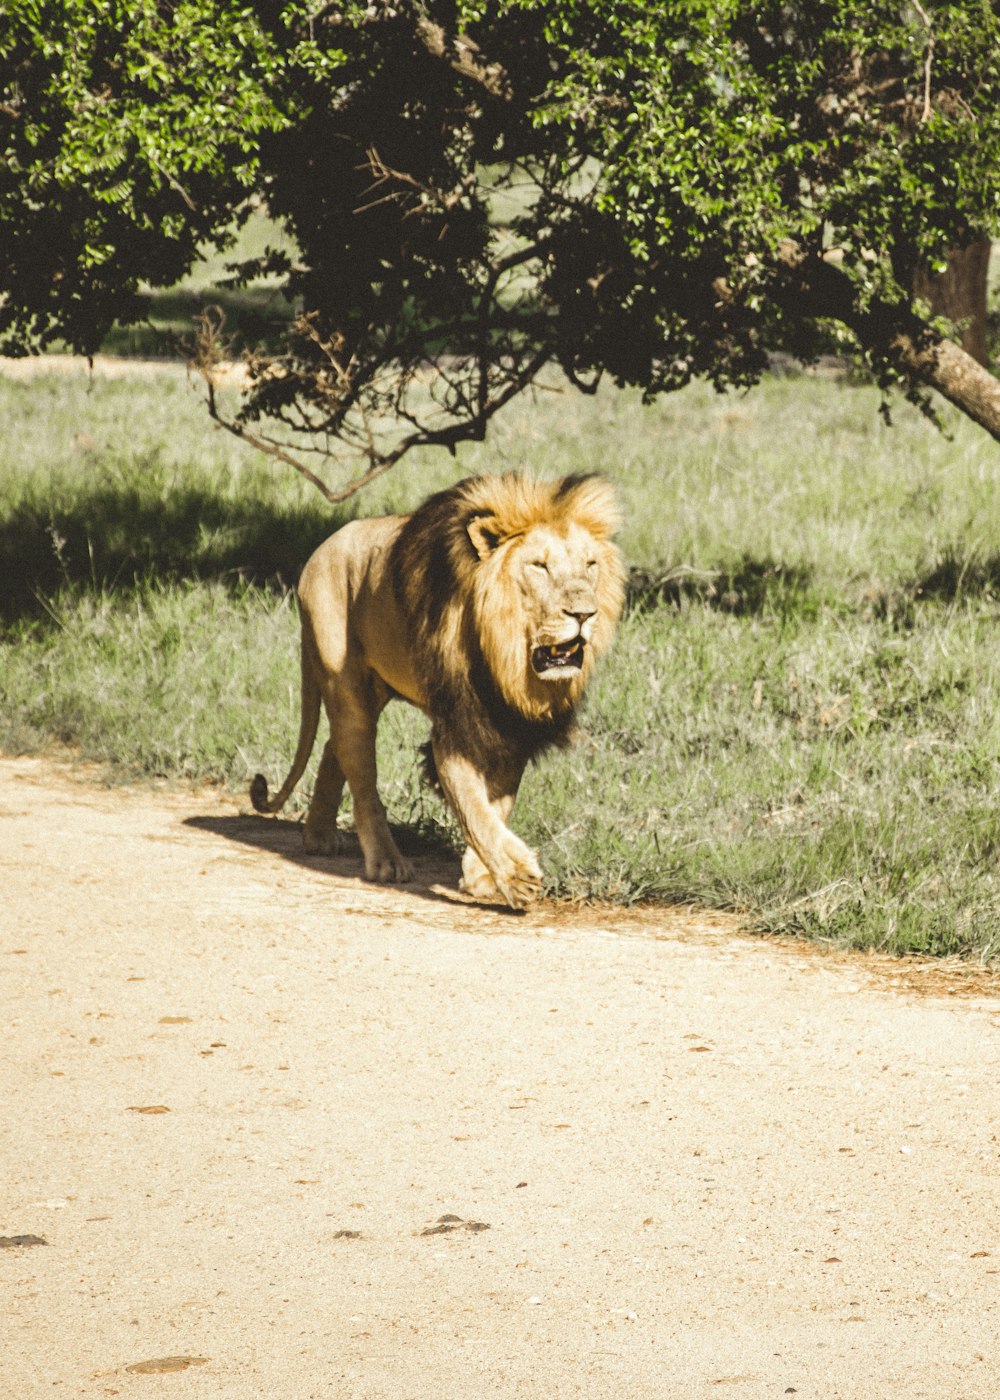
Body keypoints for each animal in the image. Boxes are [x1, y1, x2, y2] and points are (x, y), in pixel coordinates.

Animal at [249, 470, 621, 907]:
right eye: (539, 567)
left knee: (331, 746)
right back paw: (386, 862)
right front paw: (516, 877)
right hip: (346, 683)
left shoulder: (511, 729)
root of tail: (321, 548)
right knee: (360, 774)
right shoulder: (455, 729)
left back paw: (319, 835)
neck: (506, 657)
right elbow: (474, 808)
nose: (584, 614)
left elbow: (497, 805)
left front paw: (483, 876)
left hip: (374, 689)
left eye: (590, 564)